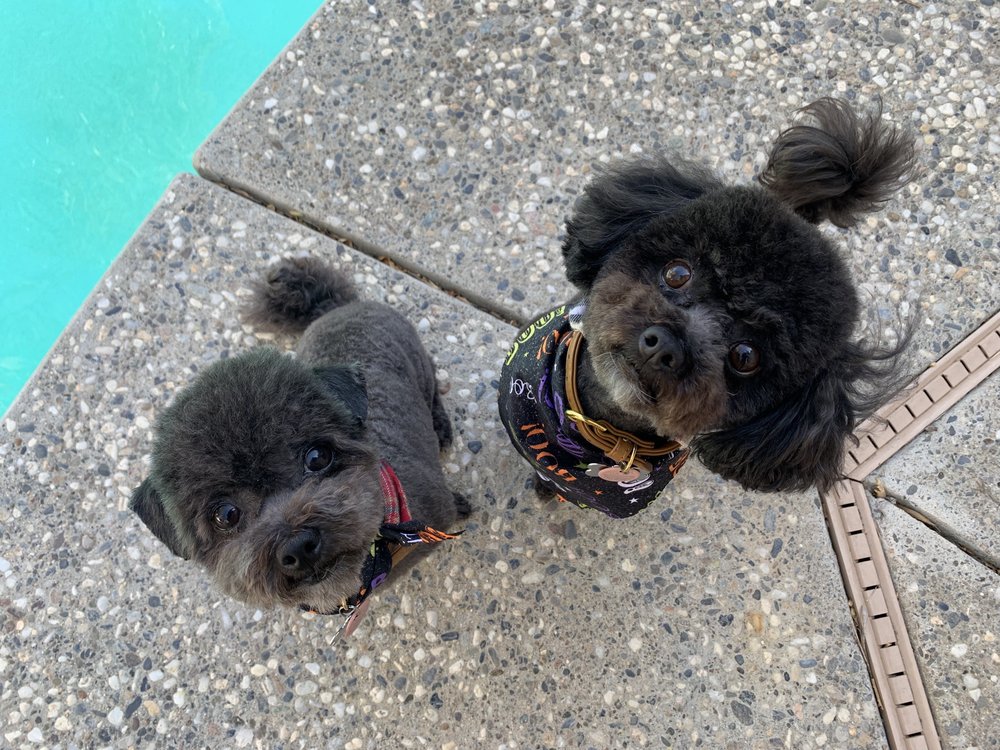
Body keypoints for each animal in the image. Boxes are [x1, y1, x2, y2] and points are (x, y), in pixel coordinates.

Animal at [131, 257, 469, 634]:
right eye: (226, 515)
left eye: (317, 457)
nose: (299, 546)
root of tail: (335, 306)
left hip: (419, 362)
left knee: (433, 389)